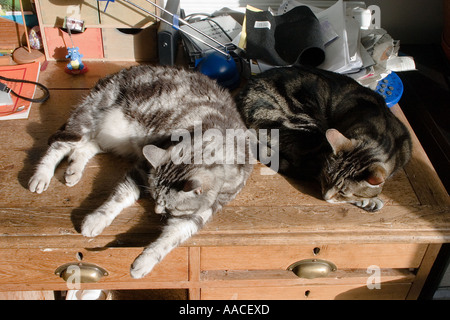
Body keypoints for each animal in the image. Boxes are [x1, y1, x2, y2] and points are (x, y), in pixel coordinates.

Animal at [29, 65, 253, 278]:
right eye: (154, 197)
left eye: (170, 207)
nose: (156, 211)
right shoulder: (142, 170)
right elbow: (117, 199)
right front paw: (96, 220)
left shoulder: (200, 212)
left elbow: (171, 238)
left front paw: (145, 261)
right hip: (88, 120)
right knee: (59, 145)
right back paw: (41, 176)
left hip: (111, 139)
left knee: (85, 148)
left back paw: (73, 171)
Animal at [236, 65, 412, 212]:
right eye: (327, 178)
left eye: (343, 191)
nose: (324, 197)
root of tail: (243, 93)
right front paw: (370, 199)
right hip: (305, 126)